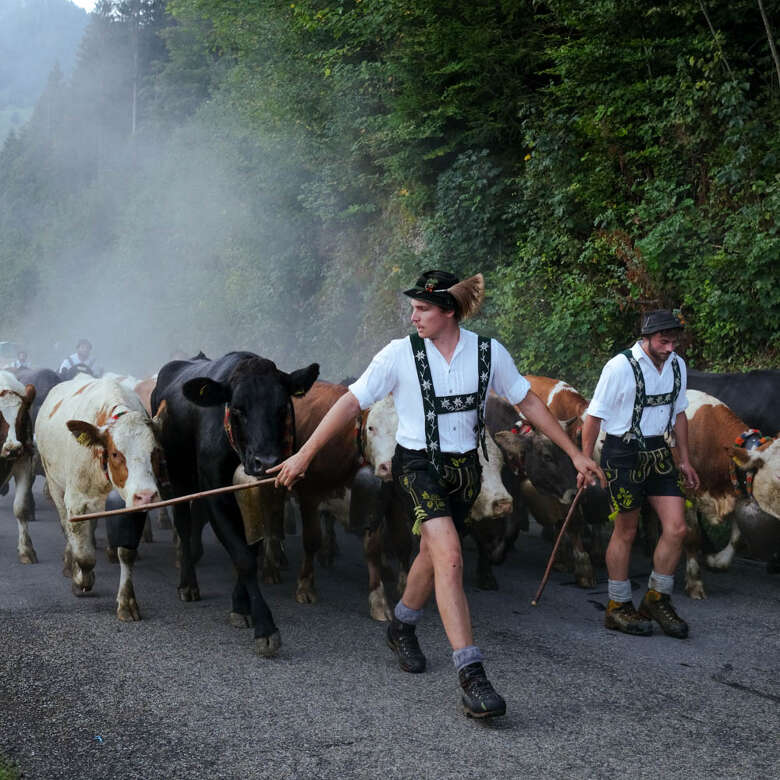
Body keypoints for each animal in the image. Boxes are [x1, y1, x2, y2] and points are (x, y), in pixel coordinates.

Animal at [35, 376, 163, 620]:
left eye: (155, 452)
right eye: (115, 453)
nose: (147, 495)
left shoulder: (131, 505)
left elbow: (127, 553)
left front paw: (127, 602)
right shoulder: (77, 502)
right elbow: (84, 555)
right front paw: (81, 579)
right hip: (55, 485)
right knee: (67, 528)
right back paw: (70, 564)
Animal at [152, 350, 316, 656]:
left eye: (282, 408)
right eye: (238, 409)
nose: (266, 462)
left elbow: (250, 549)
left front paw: (241, 605)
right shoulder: (216, 494)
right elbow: (242, 557)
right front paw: (265, 627)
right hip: (177, 479)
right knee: (183, 525)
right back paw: (188, 584)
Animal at [684, 388, 780, 596]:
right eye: (778, 474)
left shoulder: (737, 489)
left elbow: (738, 537)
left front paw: (716, 560)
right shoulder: (686, 494)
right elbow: (691, 535)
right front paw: (695, 583)